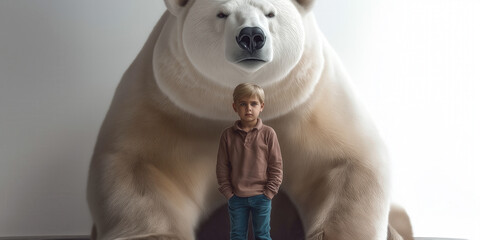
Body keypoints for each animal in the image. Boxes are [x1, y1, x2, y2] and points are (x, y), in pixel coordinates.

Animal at [88, 0, 414, 240]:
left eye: (270, 12)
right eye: (221, 13)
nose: (251, 36)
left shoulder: (312, 99)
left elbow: (348, 161)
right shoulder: (166, 105)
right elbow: (141, 169)